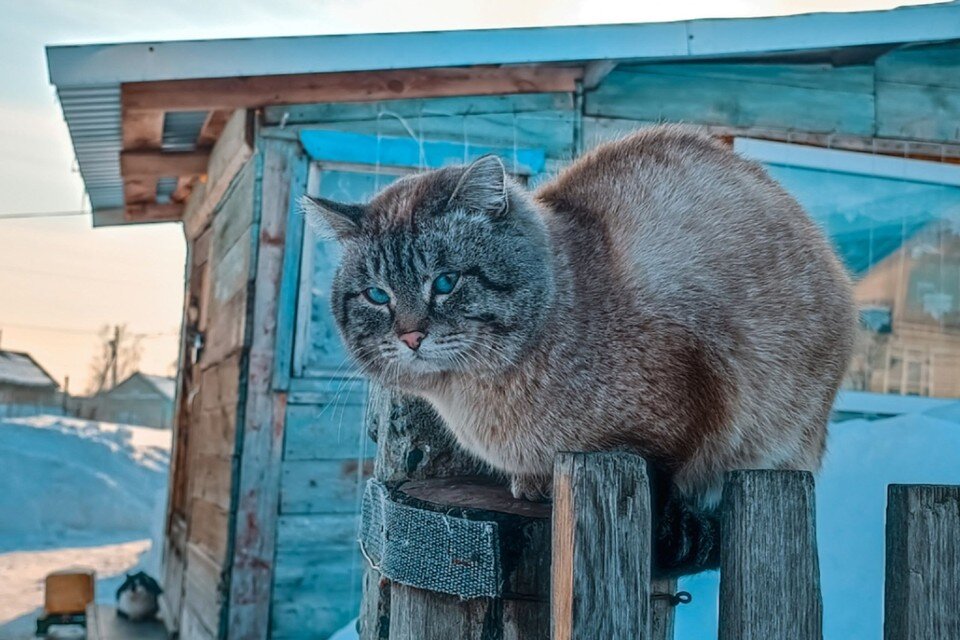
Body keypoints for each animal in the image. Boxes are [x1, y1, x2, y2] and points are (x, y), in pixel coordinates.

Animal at [304, 126, 860, 576]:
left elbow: (663, 483)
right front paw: (530, 485)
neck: (479, 402)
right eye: (377, 295)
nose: (411, 336)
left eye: (445, 282)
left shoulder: (684, 421)